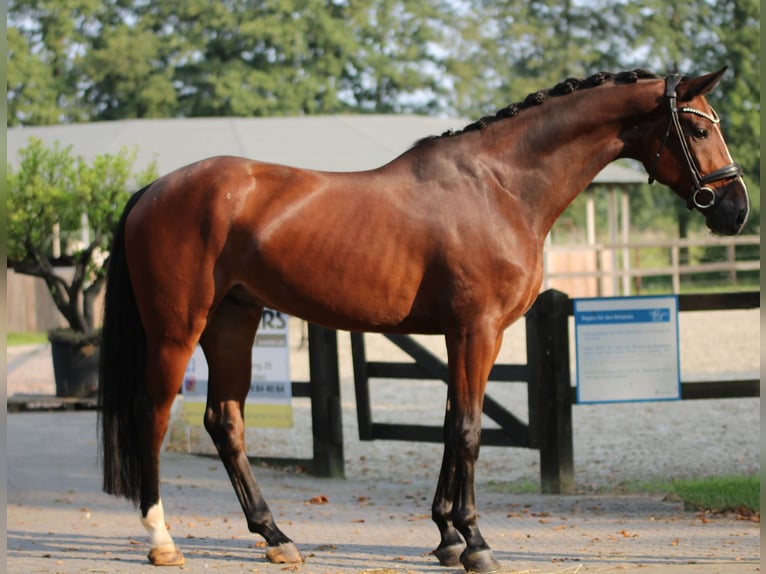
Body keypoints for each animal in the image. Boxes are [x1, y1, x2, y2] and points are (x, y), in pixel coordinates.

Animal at [97, 70, 752, 572]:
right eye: (698, 128)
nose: (736, 208)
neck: (500, 188)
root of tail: (155, 188)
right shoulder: (478, 331)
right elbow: (468, 432)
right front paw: (476, 544)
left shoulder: (464, 336)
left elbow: (448, 426)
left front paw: (446, 537)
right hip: (177, 331)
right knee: (153, 416)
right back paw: (163, 540)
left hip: (234, 321)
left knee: (224, 422)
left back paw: (276, 537)